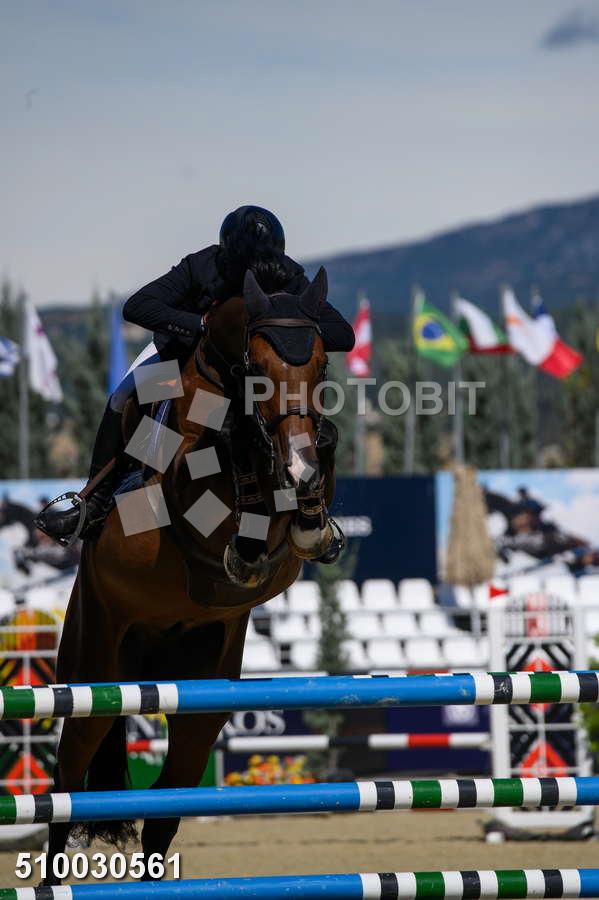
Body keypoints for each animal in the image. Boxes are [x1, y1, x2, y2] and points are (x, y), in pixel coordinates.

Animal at [44, 268, 336, 883]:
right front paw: (247, 539)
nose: (297, 469)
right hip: (92, 675)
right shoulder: (191, 487)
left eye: (322, 366)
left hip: (200, 697)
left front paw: (309, 518)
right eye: (256, 368)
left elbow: (318, 457)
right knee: (68, 780)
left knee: (168, 798)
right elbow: (231, 445)